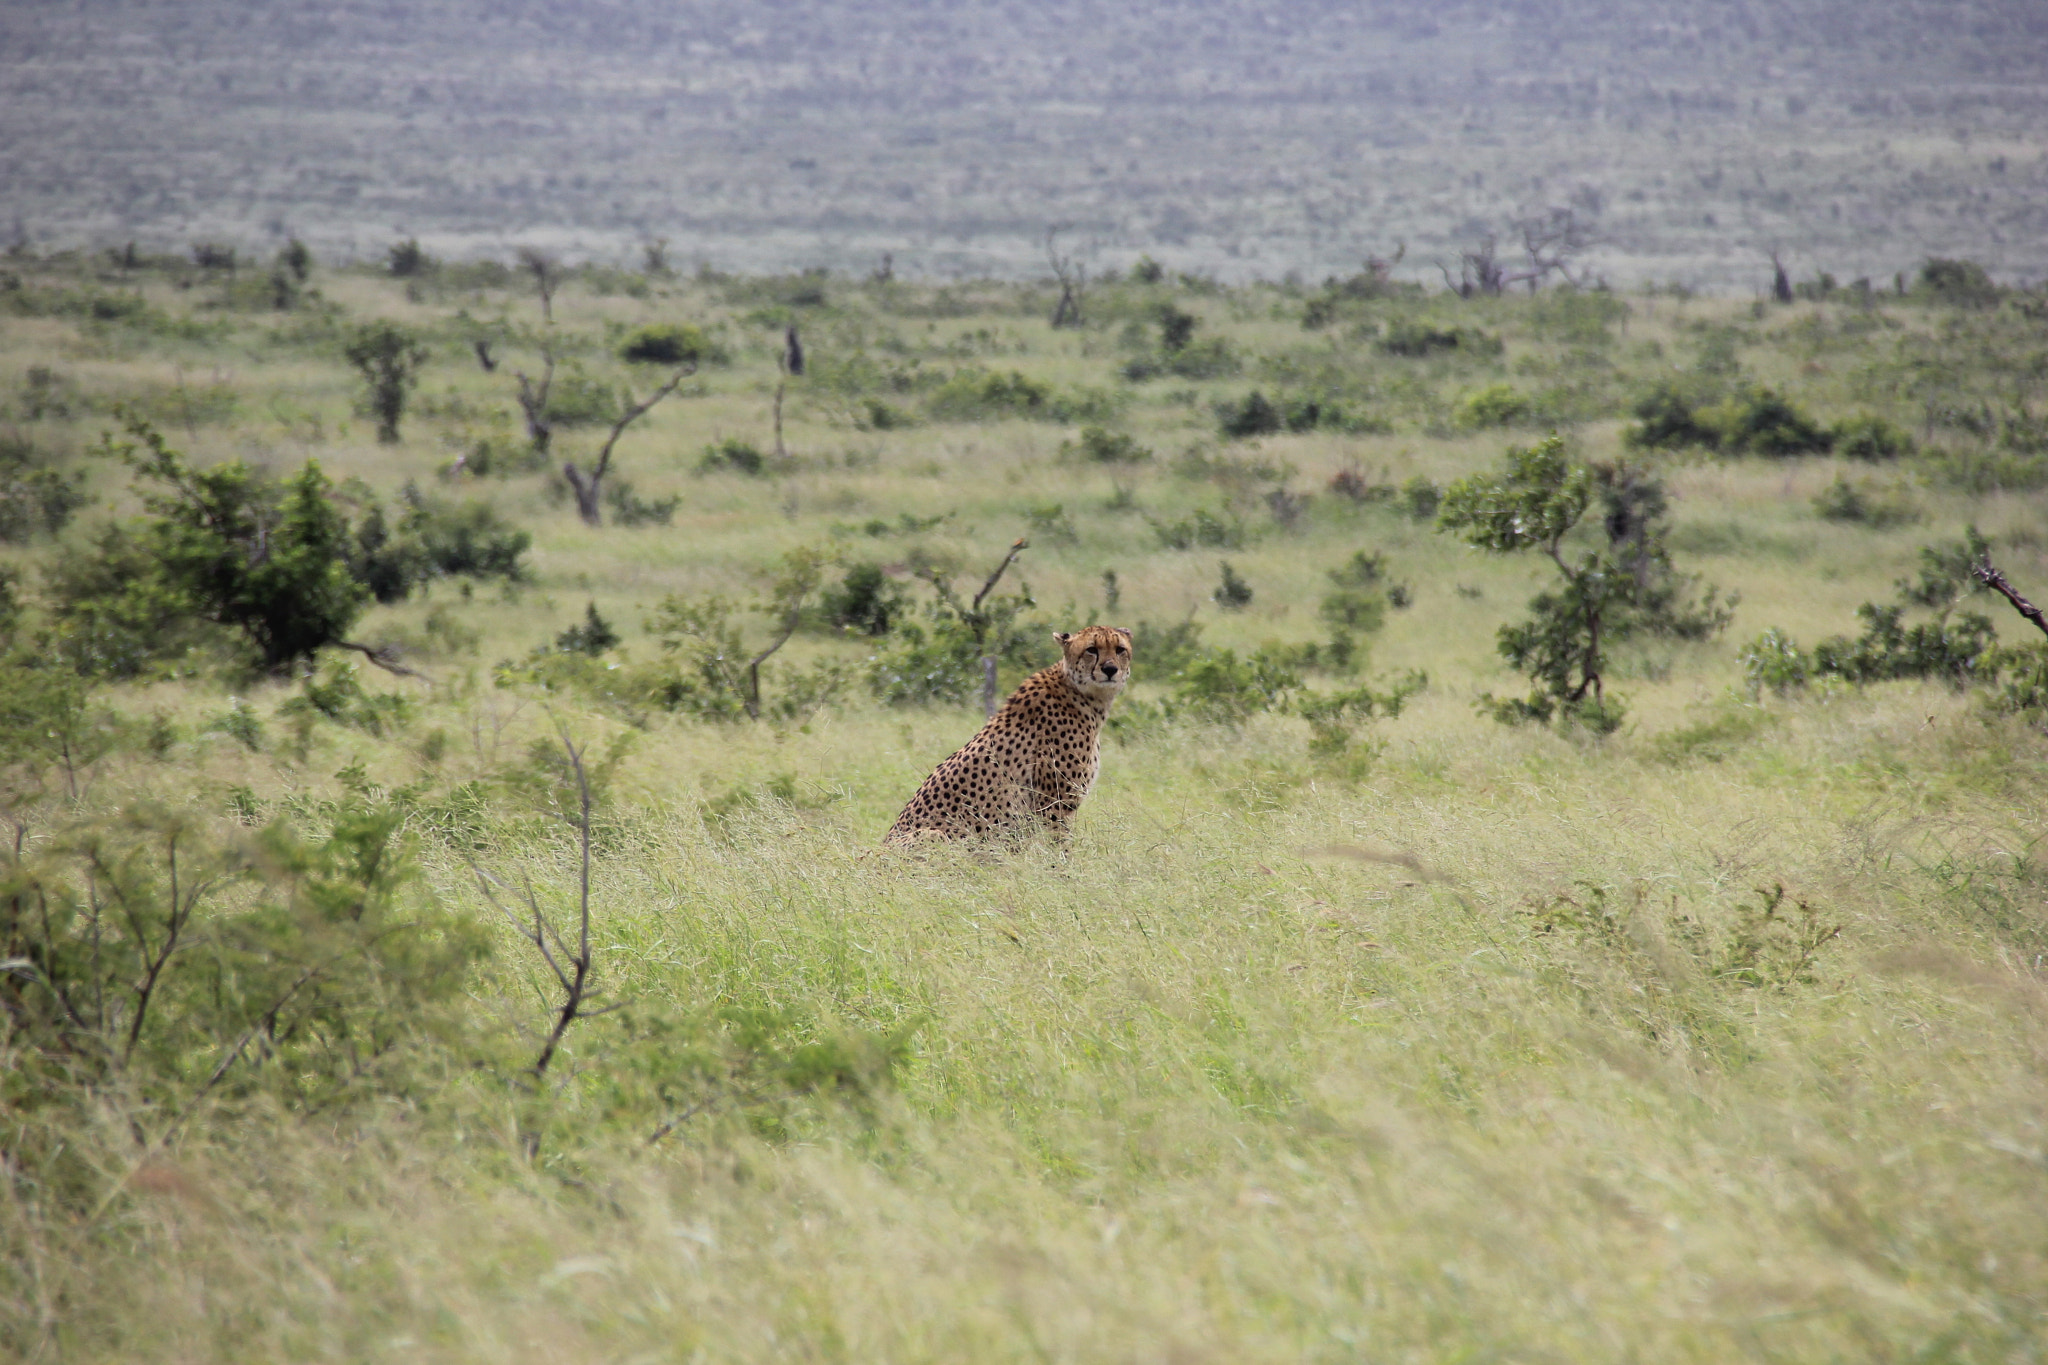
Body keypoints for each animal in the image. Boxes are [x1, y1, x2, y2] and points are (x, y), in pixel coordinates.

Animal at [884, 626, 1138, 843]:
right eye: (1091, 649)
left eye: (1120, 649)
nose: (1110, 669)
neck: (1082, 693)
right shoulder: (1053, 804)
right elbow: (1058, 848)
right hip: (935, 834)